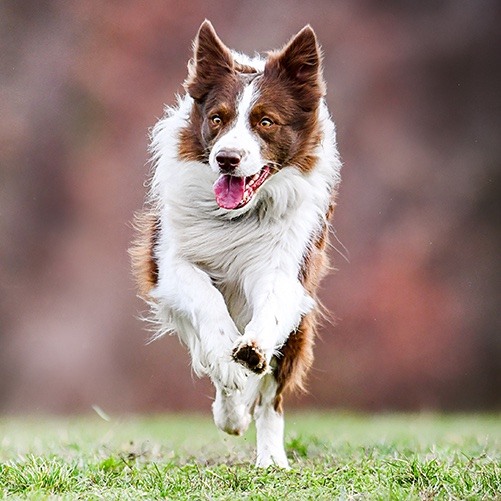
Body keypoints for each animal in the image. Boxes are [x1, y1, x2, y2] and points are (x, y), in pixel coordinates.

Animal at [130, 18, 340, 464]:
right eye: (216, 119)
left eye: (266, 122)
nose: (227, 158)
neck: (238, 217)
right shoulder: (170, 264)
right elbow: (206, 300)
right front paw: (229, 363)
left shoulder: (287, 269)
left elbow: (271, 312)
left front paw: (251, 348)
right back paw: (231, 406)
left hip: (300, 332)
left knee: (271, 401)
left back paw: (271, 457)